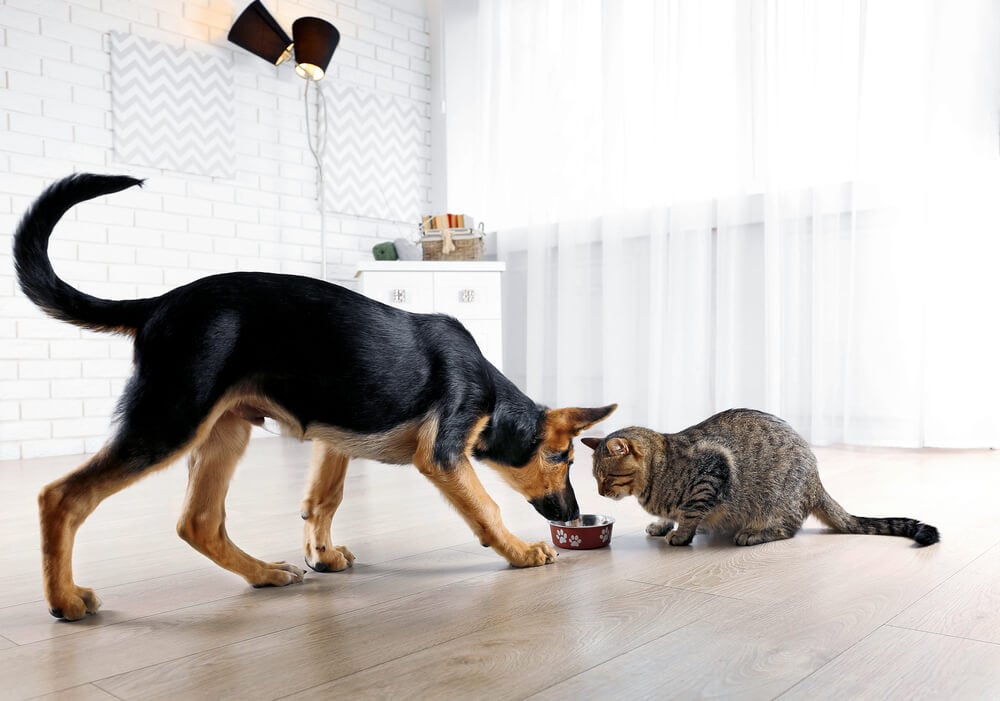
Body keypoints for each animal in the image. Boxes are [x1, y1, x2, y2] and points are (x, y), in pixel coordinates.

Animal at [13, 174, 616, 616]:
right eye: (561, 458)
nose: (572, 514)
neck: (491, 395)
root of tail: (159, 302)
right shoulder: (443, 453)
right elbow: (486, 507)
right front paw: (521, 552)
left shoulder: (336, 438)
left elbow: (323, 500)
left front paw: (322, 557)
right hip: (170, 420)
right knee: (62, 496)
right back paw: (64, 600)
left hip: (224, 430)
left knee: (198, 521)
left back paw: (264, 573)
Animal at [584, 410, 940, 548]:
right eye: (594, 478)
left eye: (607, 476)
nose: (599, 494)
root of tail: (816, 482)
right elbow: (671, 514)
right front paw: (661, 524)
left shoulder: (713, 471)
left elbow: (689, 513)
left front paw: (680, 534)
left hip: (776, 502)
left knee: (788, 529)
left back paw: (752, 534)